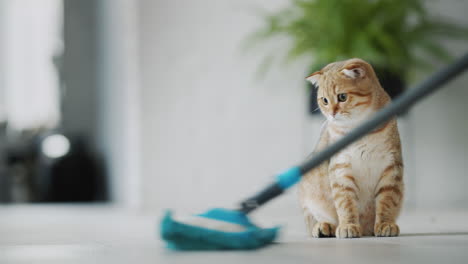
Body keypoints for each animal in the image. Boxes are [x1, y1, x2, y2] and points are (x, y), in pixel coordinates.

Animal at [298, 58, 404, 239]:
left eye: (342, 97)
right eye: (324, 100)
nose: (332, 114)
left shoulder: (391, 166)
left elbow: (386, 201)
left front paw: (385, 224)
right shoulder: (341, 168)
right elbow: (345, 203)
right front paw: (348, 226)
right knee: (312, 220)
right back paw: (324, 227)